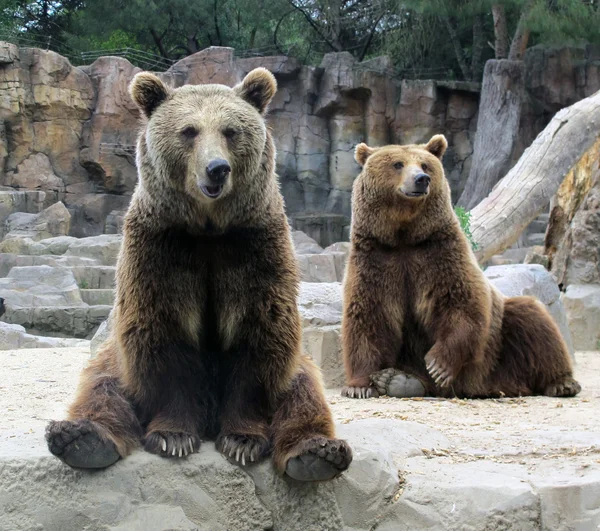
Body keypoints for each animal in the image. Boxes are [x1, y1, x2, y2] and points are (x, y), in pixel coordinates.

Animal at [45, 67, 352, 482]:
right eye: (189, 130)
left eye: (230, 131)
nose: (217, 168)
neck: (207, 228)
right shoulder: (161, 247)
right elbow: (163, 333)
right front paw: (173, 436)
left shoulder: (252, 245)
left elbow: (258, 333)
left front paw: (242, 440)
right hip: (116, 359)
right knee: (102, 384)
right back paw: (81, 438)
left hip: (298, 366)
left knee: (302, 391)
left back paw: (317, 453)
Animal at [342, 136, 580, 400]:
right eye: (397, 164)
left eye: (425, 165)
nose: (421, 179)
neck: (404, 236)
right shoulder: (376, 259)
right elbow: (368, 317)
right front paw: (360, 386)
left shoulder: (440, 252)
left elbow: (461, 302)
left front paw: (438, 365)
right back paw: (398, 380)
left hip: (498, 349)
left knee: (533, 320)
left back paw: (562, 383)